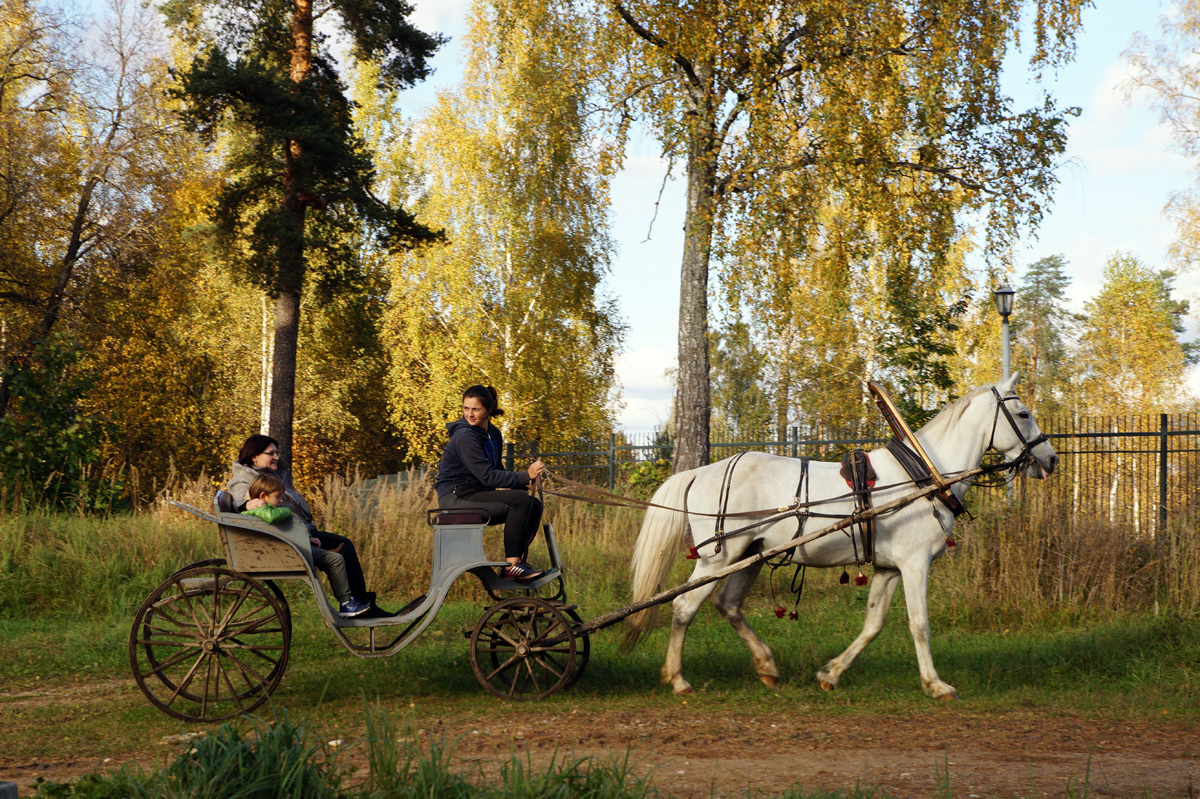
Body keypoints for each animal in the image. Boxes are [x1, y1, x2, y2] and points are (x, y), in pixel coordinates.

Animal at [624, 374, 1056, 695]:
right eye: (1023, 413)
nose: (1050, 459)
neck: (923, 476)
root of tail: (700, 472)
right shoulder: (914, 563)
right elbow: (919, 623)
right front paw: (936, 684)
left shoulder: (888, 569)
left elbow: (873, 624)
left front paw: (830, 673)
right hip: (720, 557)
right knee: (684, 607)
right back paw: (678, 679)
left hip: (750, 555)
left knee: (728, 605)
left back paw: (767, 666)